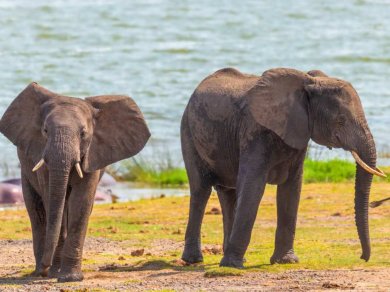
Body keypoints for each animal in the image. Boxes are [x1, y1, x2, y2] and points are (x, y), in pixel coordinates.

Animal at [0, 82, 151, 280]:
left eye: (83, 133)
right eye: (45, 131)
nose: (46, 267)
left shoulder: (94, 153)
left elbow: (81, 202)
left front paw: (69, 278)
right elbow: (54, 200)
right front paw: (55, 273)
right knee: (36, 210)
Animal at [181, 67, 386, 268]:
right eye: (341, 120)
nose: (363, 257)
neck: (308, 82)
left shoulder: (298, 134)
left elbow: (291, 188)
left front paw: (286, 261)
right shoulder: (255, 132)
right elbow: (252, 187)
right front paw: (232, 266)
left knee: (227, 194)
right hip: (188, 131)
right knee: (201, 190)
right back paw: (194, 260)